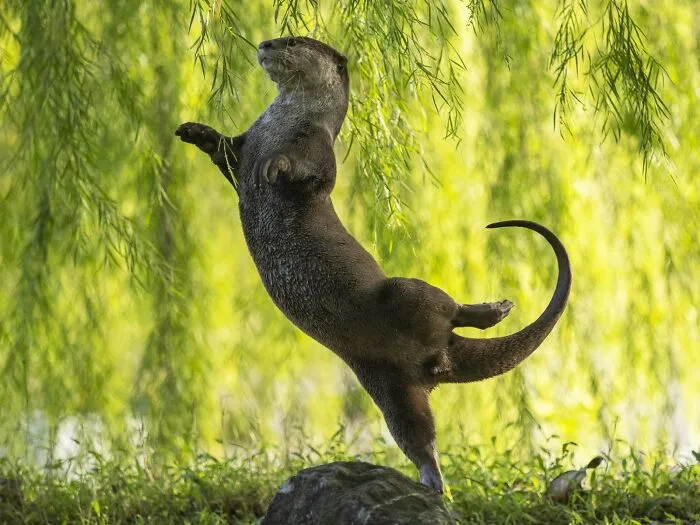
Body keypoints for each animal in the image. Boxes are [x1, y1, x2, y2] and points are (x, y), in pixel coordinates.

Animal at [175, 36, 571, 493]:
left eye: (292, 40)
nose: (265, 43)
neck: (281, 124)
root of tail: (441, 355)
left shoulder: (317, 150)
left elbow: (305, 173)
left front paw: (275, 165)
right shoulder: (247, 143)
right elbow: (225, 152)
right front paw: (195, 131)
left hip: (402, 293)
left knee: (447, 307)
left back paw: (495, 310)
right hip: (387, 383)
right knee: (417, 434)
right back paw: (432, 482)